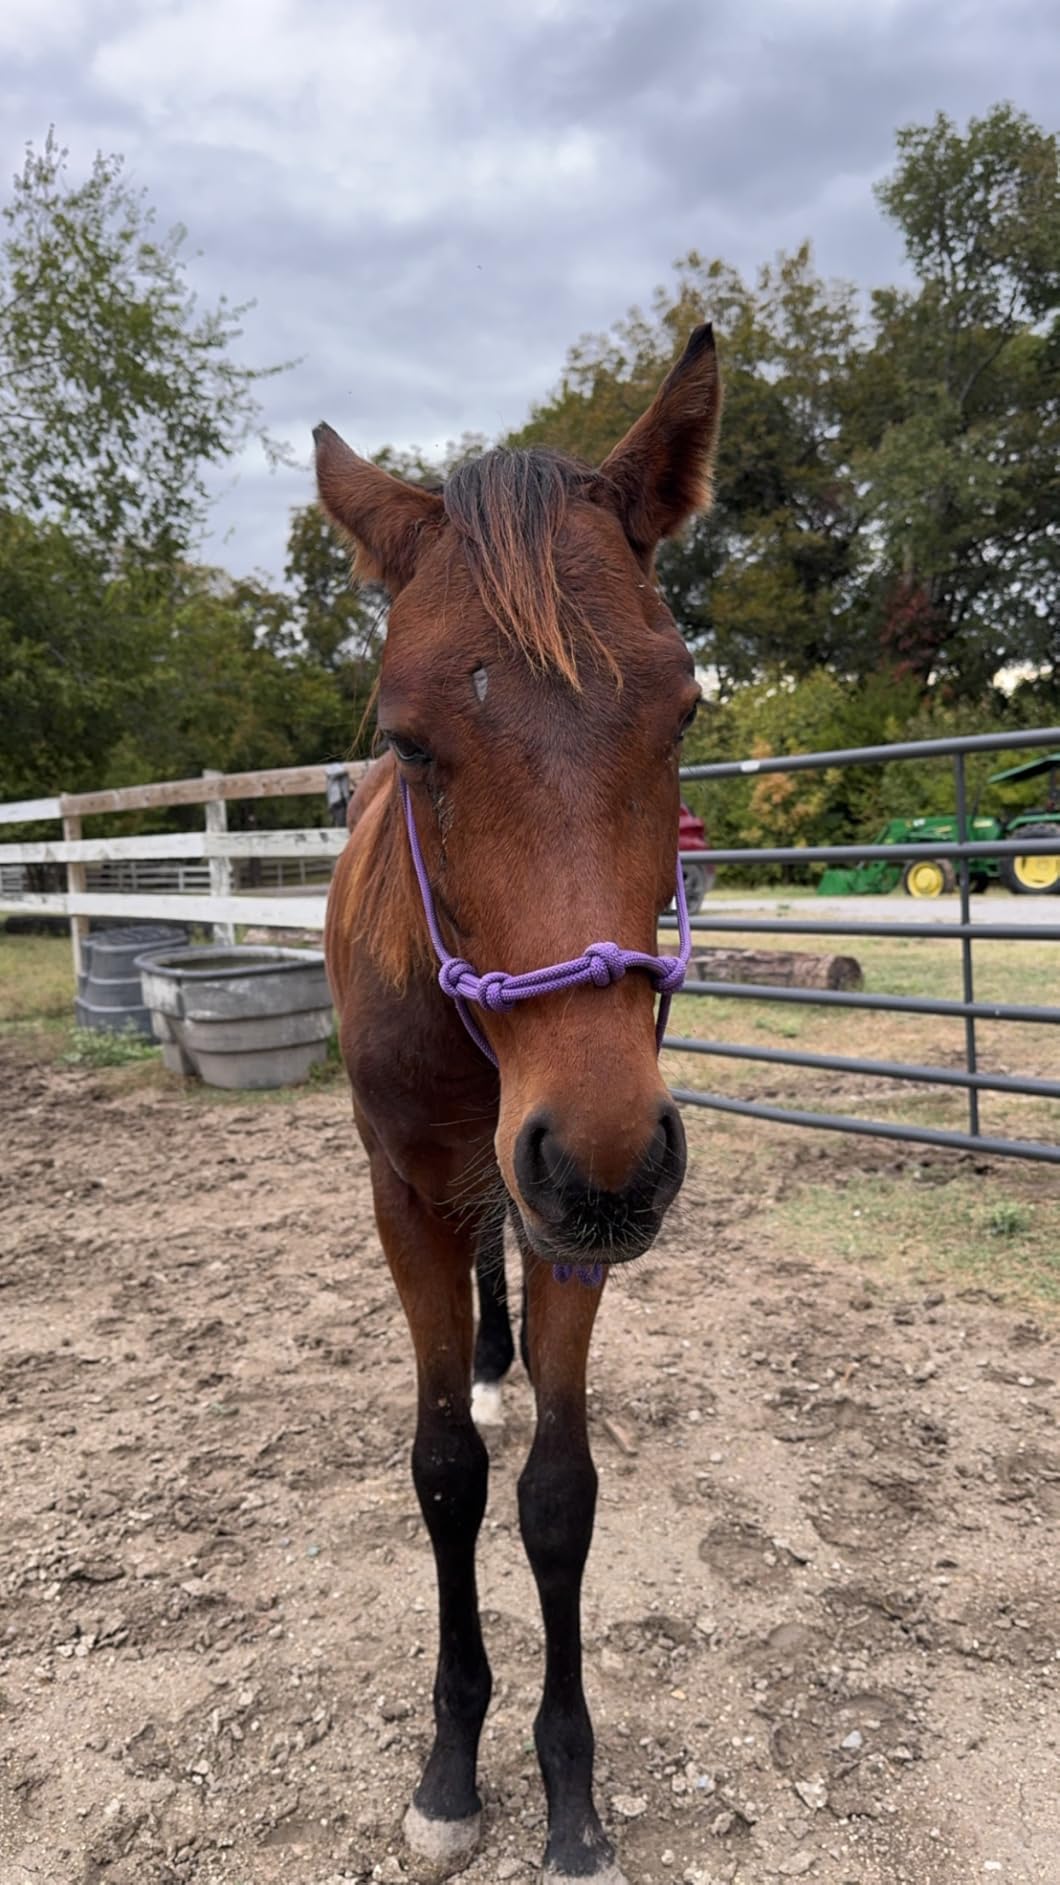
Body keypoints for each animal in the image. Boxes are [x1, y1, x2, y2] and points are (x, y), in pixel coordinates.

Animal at [316, 323, 721, 1884]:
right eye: (409, 740)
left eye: (681, 713)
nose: (605, 1162)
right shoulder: (410, 1191)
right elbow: (444, 1473)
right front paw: (449, 1766)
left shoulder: (568, 1216)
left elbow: (556, 1492)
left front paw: (568, 1788)